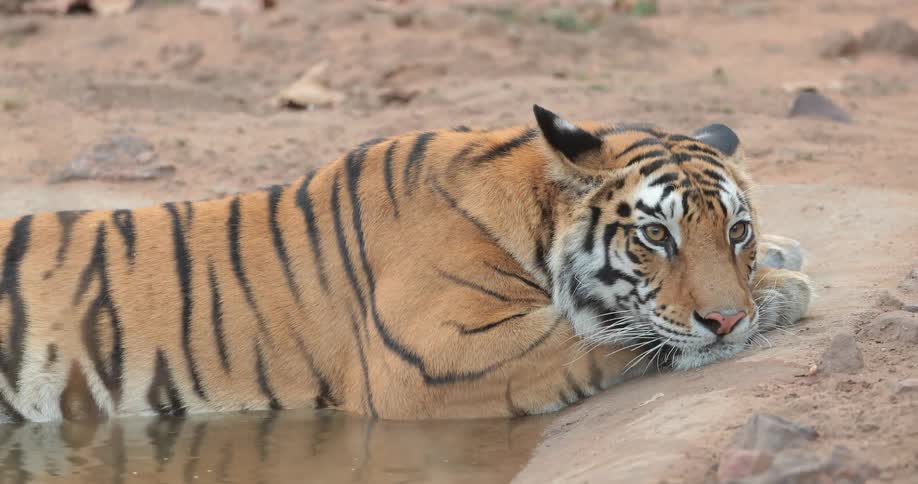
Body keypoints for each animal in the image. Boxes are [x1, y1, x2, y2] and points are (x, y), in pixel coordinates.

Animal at [0, 105, 812, 422]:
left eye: (735, 230)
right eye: (656, 237)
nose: (726, 320)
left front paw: (778, 261)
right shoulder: (436, 357)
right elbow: (600, 332)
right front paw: (782, 290)